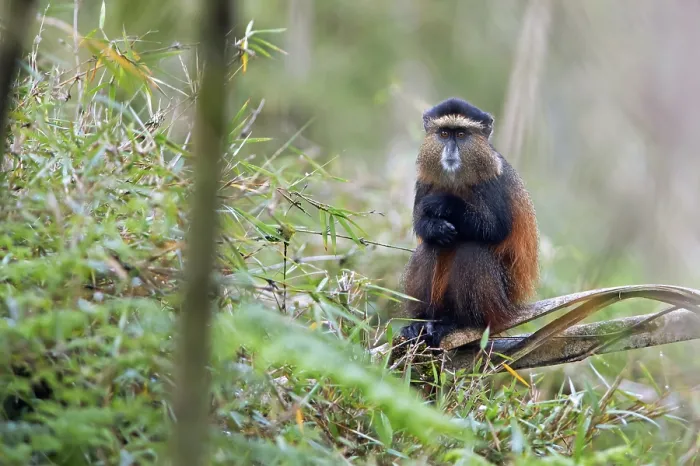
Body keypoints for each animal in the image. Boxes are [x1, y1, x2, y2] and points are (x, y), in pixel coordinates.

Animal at [399, 97, 539, 348]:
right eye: (444, 133)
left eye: (462, 134)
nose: (450, 150)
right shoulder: (424, 180)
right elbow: (421, 225)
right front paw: (435, 227)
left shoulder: (493, 180)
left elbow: (496, 229)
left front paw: (445, 203)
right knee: (429, 247)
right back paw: (421, 322)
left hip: (499, 304)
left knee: (472, 250)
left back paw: (458, 323)